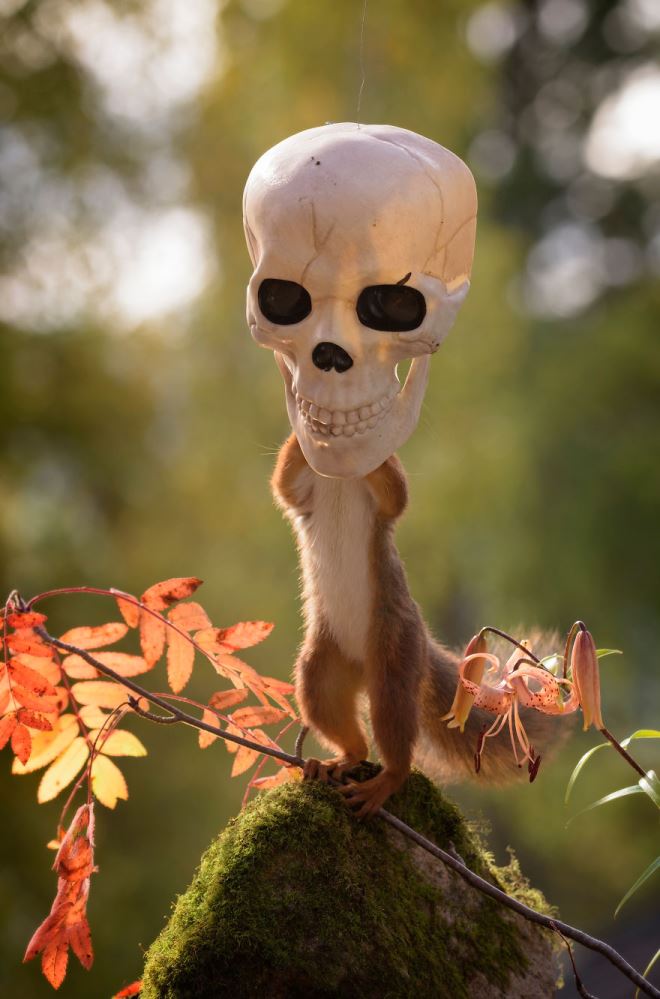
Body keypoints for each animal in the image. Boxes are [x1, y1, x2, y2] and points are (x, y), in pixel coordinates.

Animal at [272, 432, 558, 817]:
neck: (341, 480)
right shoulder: (304, 497)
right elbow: (284, 483)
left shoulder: (382, 507)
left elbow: (396, 495)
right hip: (324, 672)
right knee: (342, 724)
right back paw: (339, 760)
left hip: (395, 653)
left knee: (394, 732)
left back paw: (385, 781)